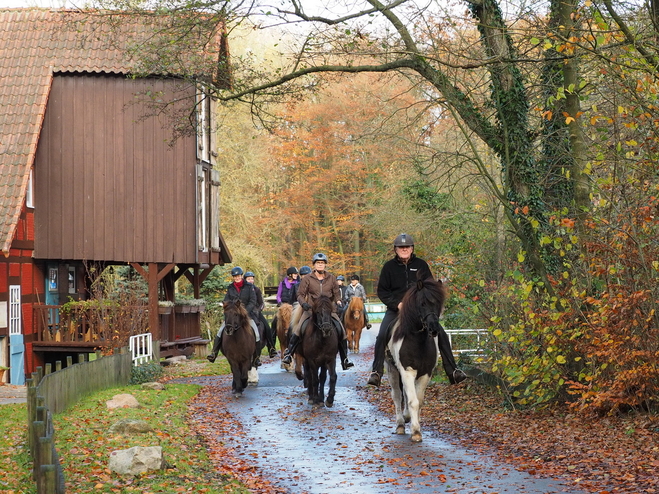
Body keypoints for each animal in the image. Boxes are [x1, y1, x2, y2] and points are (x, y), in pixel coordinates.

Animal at [386, 278, 448, 444]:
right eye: (422, 303)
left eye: (438, 303)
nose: (434, 328)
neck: (418, 341)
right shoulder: (407, 372)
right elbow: (412, 401)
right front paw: (415, 432)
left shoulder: (425, 373)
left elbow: (418, 401)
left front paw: (415, 424)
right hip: (393, 370)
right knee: (397, 395)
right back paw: (400, 424)